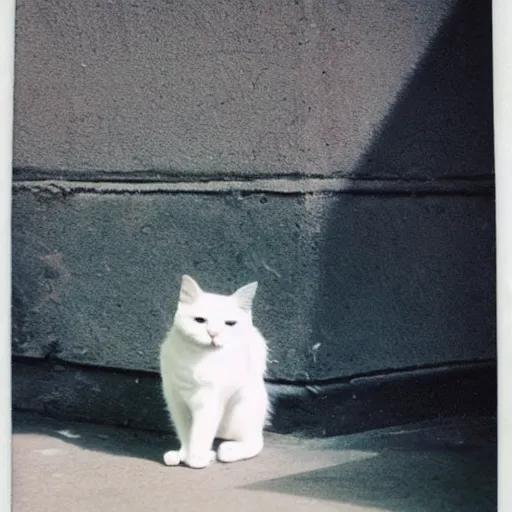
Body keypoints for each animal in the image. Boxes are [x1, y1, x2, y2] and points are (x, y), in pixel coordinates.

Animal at [161, 276, 270, 468]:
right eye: (200, 320)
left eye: (230, 324)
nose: (213, 333)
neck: (195, 358)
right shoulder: (175, 401)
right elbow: (185, 433)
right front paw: (184, 455)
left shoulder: (209, 403)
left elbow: (199, 434)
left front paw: (196, 460)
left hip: (243, 410)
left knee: (254, 442)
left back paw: (228, 451)